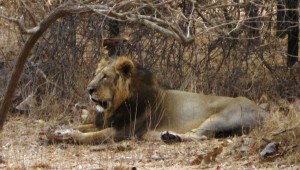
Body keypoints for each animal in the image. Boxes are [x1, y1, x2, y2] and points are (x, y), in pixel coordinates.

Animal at [52, 56, 264, 144]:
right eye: (96, 74)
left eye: (105, 76)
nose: (89, 90)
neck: (116, 105)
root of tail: (264, 111)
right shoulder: (105, 122)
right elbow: (82, 126)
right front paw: (62, 130)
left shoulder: (122, 131)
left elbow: (92, 136)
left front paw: (70, 136)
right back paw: (164, 135)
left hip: (222, 117)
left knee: (200, 135)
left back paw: (168, 137)